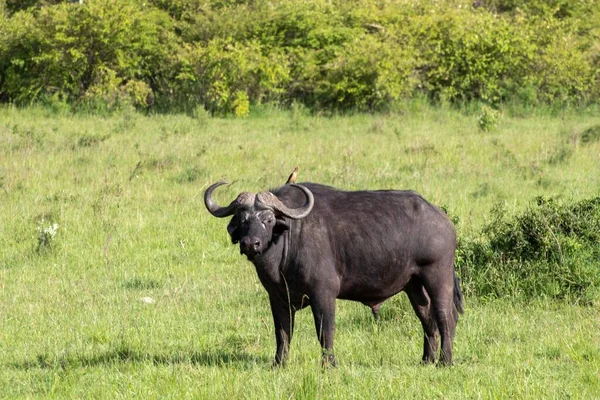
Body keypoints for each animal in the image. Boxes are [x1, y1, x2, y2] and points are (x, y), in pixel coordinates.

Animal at [206, 181, 464, 366]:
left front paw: (329, 364)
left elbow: (325, 330)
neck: (288, 242)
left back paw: (445, 361)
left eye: (268, 219)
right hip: (413, 285)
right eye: (242, 219)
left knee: (446, 316)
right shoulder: (278, 298)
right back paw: (426, 360)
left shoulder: (323, 294)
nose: (251, 244)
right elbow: (283, 332)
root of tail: (443, 220)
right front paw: (278, 364)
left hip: (437, 277)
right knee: (427, 318)